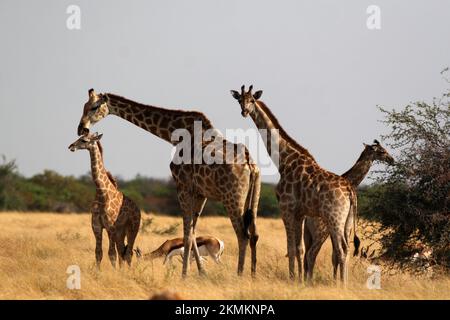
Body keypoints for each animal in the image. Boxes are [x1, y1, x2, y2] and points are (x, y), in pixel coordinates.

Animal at [68, 132, 141, 268]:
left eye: (84, 140)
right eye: (79, 137)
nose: (71, 146)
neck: (102, 193)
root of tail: (138, 209)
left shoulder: (110, 227)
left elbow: (111, 254)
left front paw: (114, 272)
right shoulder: (96, 226)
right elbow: (98, 253)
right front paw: (98, 272)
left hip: (133, 228)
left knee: (128, 252)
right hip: (121, 231)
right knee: (122, 251)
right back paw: (123, 271)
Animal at [77, 89, 260, 278]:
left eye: (94, 106)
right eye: (84, 105)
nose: (81, 128)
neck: (175, 135)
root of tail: (250, 165)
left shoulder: (182, 185)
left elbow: (187, 234)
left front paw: (184, 275)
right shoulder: (200, 192)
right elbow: (193, 231)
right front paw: (201, 272)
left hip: (232, 197)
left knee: (242, 235)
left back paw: (239, 274)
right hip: (253, 196)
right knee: (254, 234)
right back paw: (253, 275)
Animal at [232, 85, 358, 284]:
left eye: (252, 100)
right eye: (240, 100)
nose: (244, 111)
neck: (283, 160)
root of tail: (350, 192)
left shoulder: (286, 208)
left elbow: (291, 248)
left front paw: (292, 279)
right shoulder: (300, 213)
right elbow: (300, 249)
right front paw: (300, 280)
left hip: (334, 218)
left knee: (341, 249)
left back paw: (342, 286)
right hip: (347, 221)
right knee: (344, 249)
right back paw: (343, 283)